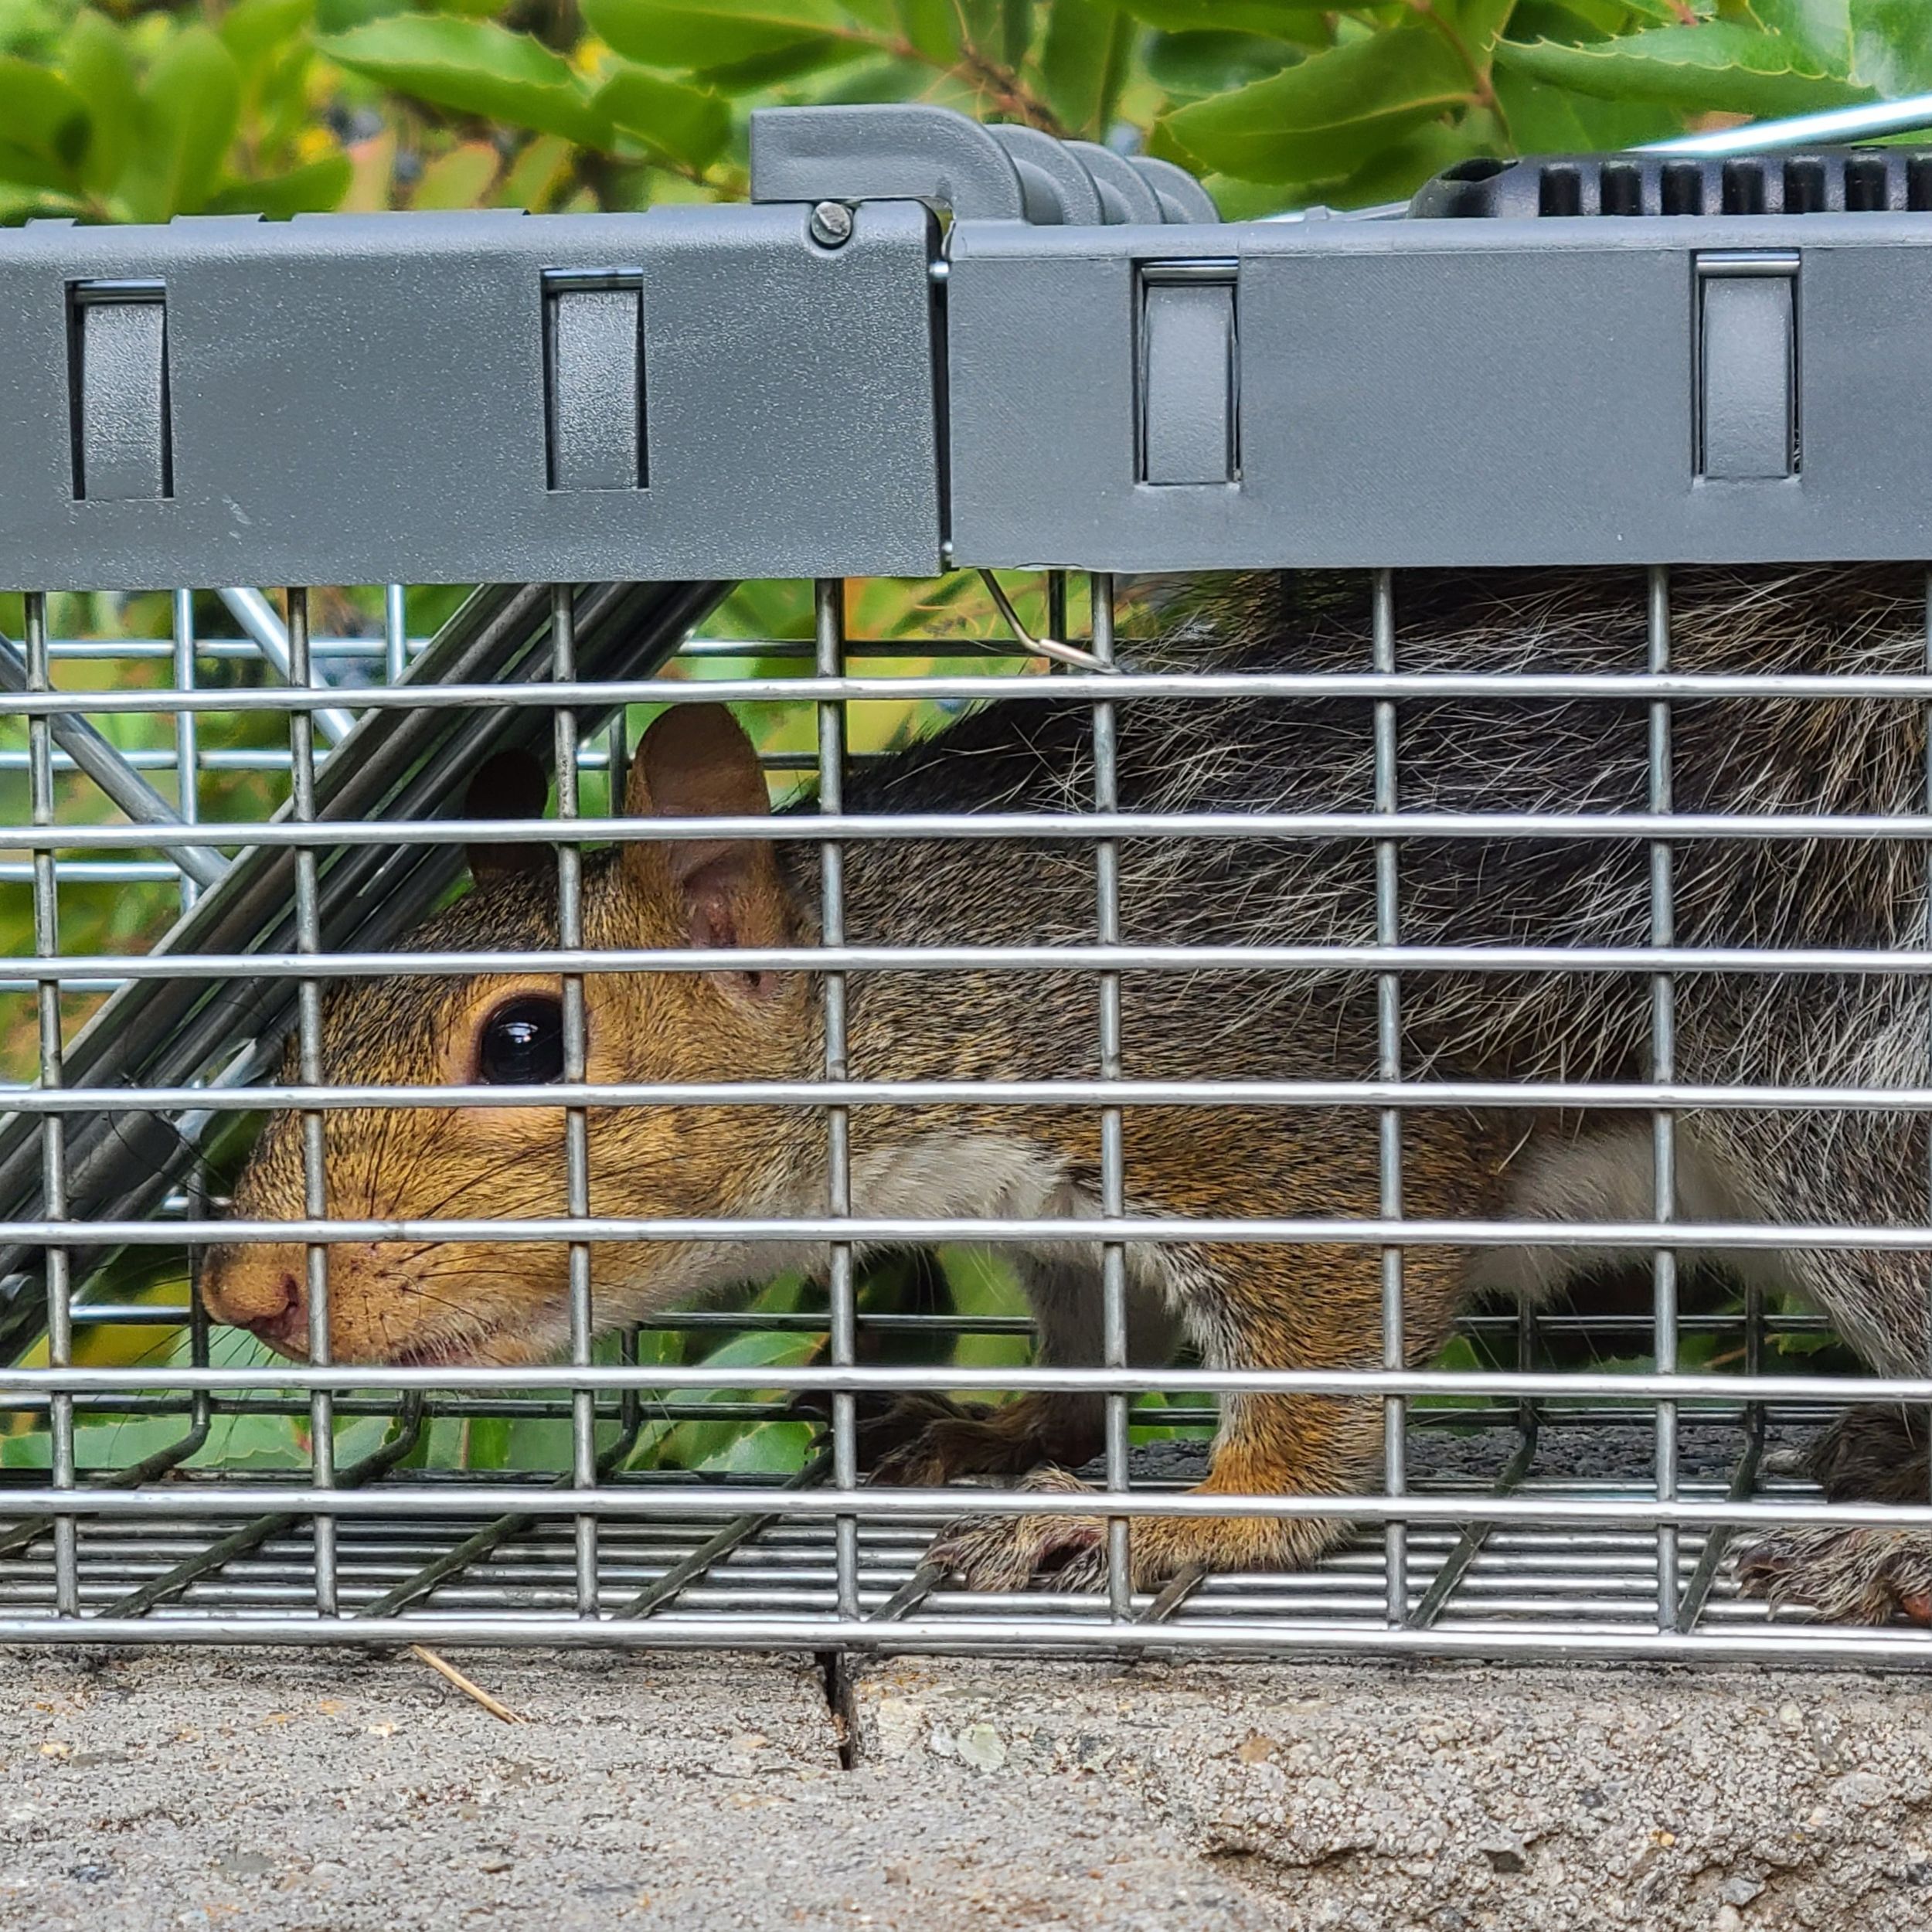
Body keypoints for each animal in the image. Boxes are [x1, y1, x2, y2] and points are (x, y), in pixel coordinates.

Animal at [203, 564, 1932, 1623]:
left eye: (520, 1042)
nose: (239, 1289)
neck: (954, 983)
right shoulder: (1062, 1226)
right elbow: (1096, 1351)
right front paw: (1001, 1427)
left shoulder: (1278, 1137)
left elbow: (1322, 1389)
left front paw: (1172, 1514)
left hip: (1821, 1095)